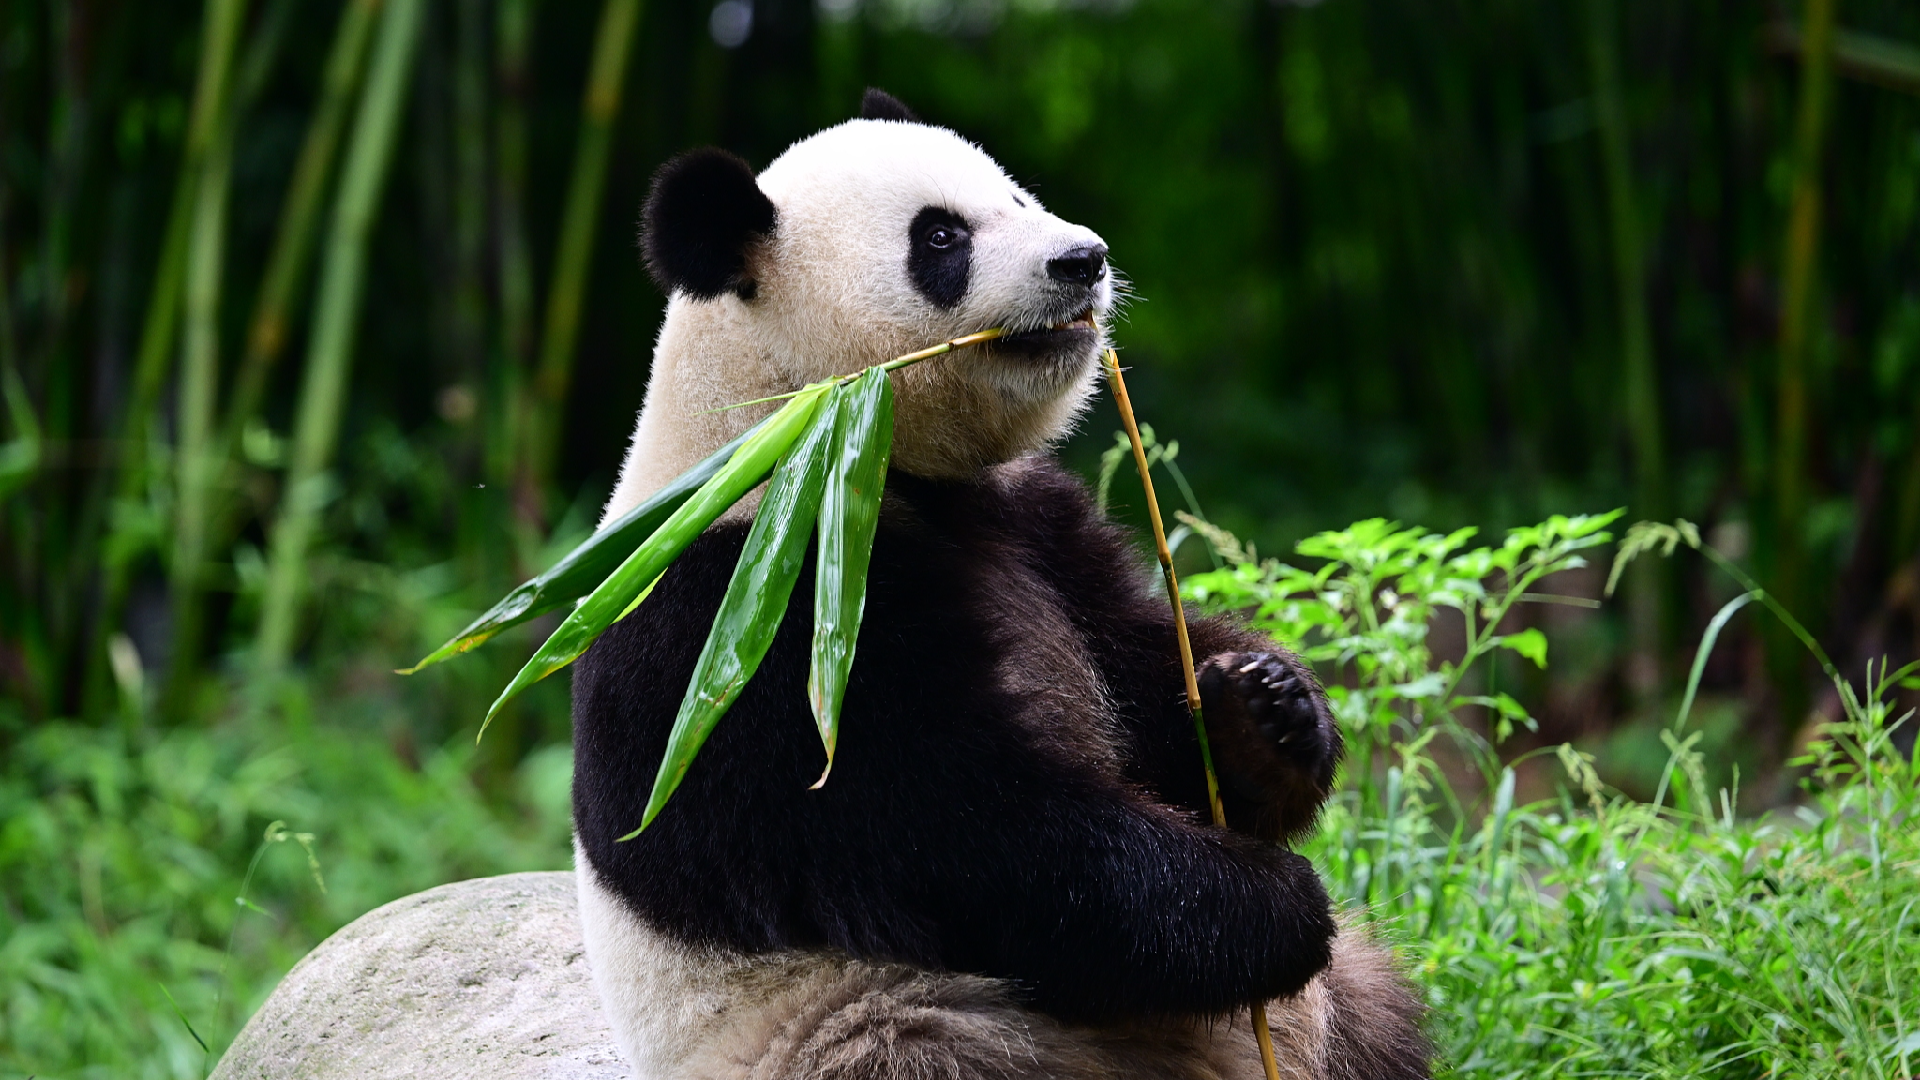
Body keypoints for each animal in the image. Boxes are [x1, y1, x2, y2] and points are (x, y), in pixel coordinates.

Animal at [568, 88, 1428, 1068]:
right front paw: (1270, 903)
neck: (812, 429)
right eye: (940, 237)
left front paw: (1267, 709)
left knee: (1374, 1011)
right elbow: (962, 837)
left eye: (1017, 198)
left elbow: (1132, 671)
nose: (1083, 259)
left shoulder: (1032, 521)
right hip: (886, 1025)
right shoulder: (746, 620)